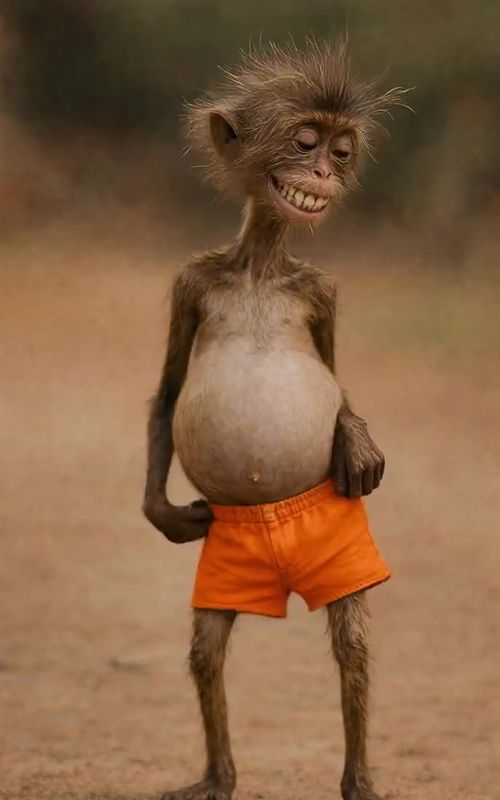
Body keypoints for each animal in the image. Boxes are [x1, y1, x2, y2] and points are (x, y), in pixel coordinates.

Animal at [142, 39, 406, 800]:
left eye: (341, 154)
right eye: (305, 143)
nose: (322, 173)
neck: (262, 264)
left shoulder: (322, 292)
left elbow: (336, 380)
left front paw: (355, 438)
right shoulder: (191, 282)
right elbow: (168, 392)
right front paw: (161, 514)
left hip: (344, 555)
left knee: (352, 645)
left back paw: (358, 782)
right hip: (223, 570)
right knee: (207, 649)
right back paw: (217, 779)